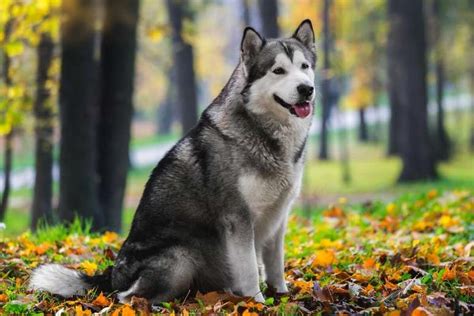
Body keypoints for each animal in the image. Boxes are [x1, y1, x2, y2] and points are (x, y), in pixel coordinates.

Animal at [31, 19, 316, 304]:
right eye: (278, 70)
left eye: (305, 67)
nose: (306, 89)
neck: (264, 131)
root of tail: (111, 275)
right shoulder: (238, 218)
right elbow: (248, 270)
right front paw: (257, 303)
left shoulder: (278, 216)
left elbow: (275, 264)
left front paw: (282, 295)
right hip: (180, 256)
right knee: (126, 297)